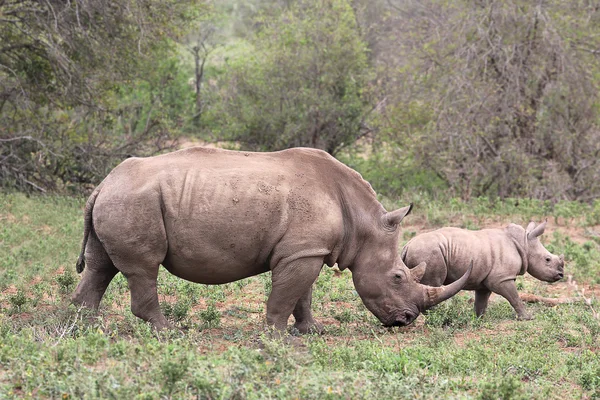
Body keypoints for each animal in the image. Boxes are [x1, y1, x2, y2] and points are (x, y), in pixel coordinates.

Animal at [71, 147, 474, 332]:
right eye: (398, 276)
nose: (407, 320)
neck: (362, 222)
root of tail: (103, 184)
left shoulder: (307, 249)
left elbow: (303, 294)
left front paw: (312, 331)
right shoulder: (301, 252)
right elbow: (286, 294)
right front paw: (276, 335)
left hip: (120, 198)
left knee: (100, 266)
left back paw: (85, 327)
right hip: (134, 200)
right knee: (143, 268)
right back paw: (169, 331)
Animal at [400, 222, 564, 318]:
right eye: (547, 259)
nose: (561, 275)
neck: (524, 244)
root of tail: (407, 246)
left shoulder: (485, 281)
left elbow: (482, 300)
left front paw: (478, 319)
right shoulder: (502, 278)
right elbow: (514, 297)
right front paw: (528, 317)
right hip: (428, 253)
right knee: (432, 284)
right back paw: (435, 317)